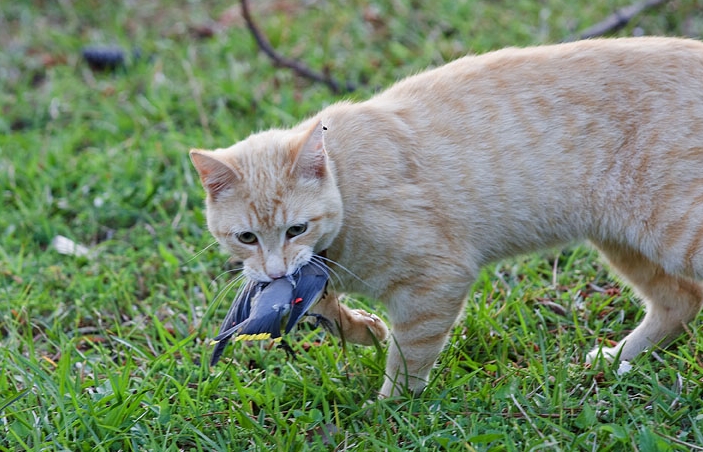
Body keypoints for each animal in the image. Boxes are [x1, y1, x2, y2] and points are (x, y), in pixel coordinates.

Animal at [190, 38, 703, 400]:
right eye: (246, 237)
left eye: (296, 228)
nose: (275, 272)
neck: (347, 186)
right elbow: (327, 307)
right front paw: (363, 329)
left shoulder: (438, 279)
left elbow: (409, 355)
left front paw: (389, 409)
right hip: (624, 241)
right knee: (680, 302)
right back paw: (613, 361)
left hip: (678, 231)